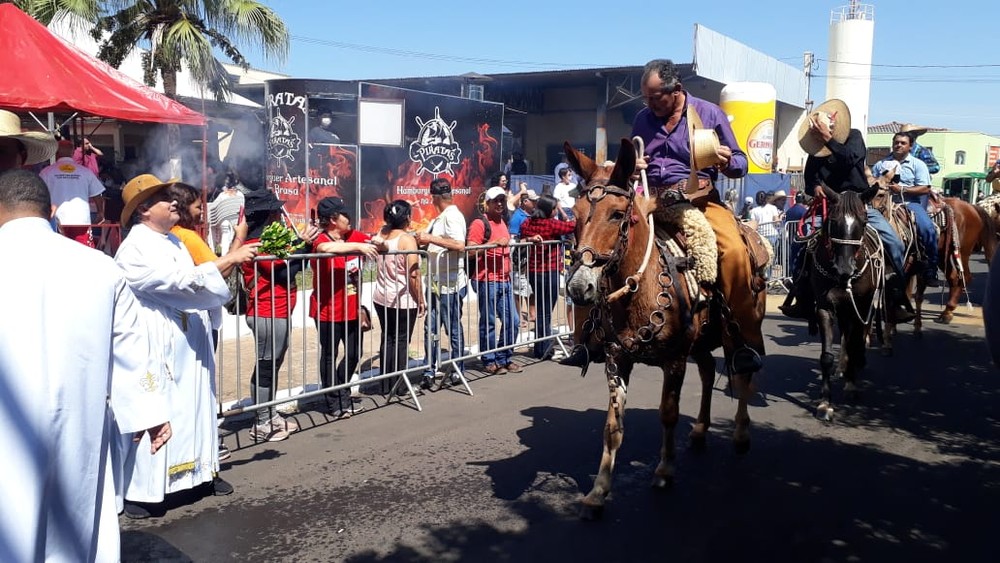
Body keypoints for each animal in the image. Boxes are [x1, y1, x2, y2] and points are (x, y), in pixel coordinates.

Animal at [563, 139, 760, 520]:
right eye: (575, 215)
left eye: (616, 214)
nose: (580, 287)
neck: (640, 288)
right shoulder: (617, 359)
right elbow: (612, 428)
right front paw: (599, 491)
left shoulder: (675, 359)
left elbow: (668, 414)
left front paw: (665, 470)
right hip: (702, 343)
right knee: (708, 371)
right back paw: (699, 431)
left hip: (740, 329)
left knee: (744, 374)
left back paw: (743, 435)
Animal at [806, 189, 884, 421]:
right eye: (833, 220)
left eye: (864, 220)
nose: (845, 268)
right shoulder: (825, 308)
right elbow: (826, 356)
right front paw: (825, 403)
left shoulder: (861, 307)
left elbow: (854, 342)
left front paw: (851, 386)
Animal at [912, 196, 996, 329]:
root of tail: (972, 207)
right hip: (942, 254)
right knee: (953, 278)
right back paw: (947, 312)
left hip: (962, 251)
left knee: (964, 277)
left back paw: (948, 311)